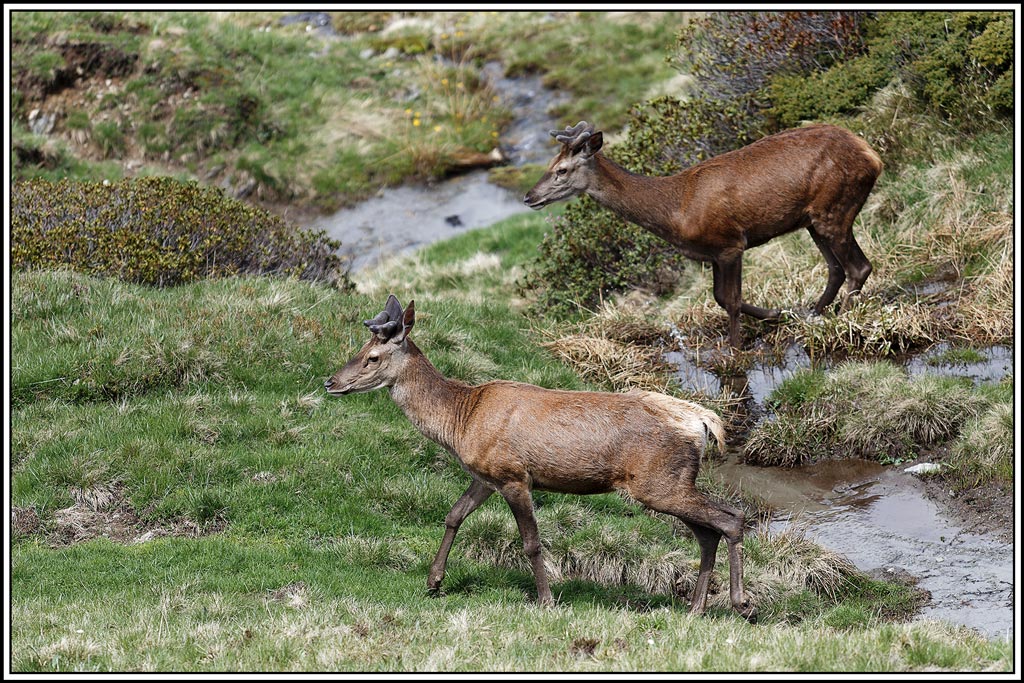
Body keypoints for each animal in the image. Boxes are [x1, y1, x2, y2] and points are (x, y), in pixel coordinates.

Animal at [324, 294, 756, 620]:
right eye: (360, 348)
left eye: (373, 357)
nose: (330, 382)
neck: (461, 420)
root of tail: (703, 421)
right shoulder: (485, 476)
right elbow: (453, 515)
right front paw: (434, 582)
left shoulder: (514, 475)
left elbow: (531, 542)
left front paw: (546, 601)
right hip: (671, 482)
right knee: (708, 530)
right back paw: (697, 608)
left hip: (659, 482)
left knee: (731, 518)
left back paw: (741, 604)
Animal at [524, 121, 883, 348]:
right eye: (549, 164)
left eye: (561, 170)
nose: (529, 196)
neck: (675, 211)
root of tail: (873, 155)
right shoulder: (711, 254)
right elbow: (719, 298)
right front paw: (776, 314)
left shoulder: (730, 244)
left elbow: (731, 300)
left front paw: (736, 351)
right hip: (812, 219)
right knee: (835, 268)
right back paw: (813, 313)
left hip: (834, 208)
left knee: (858, 266)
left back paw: (842, 321)